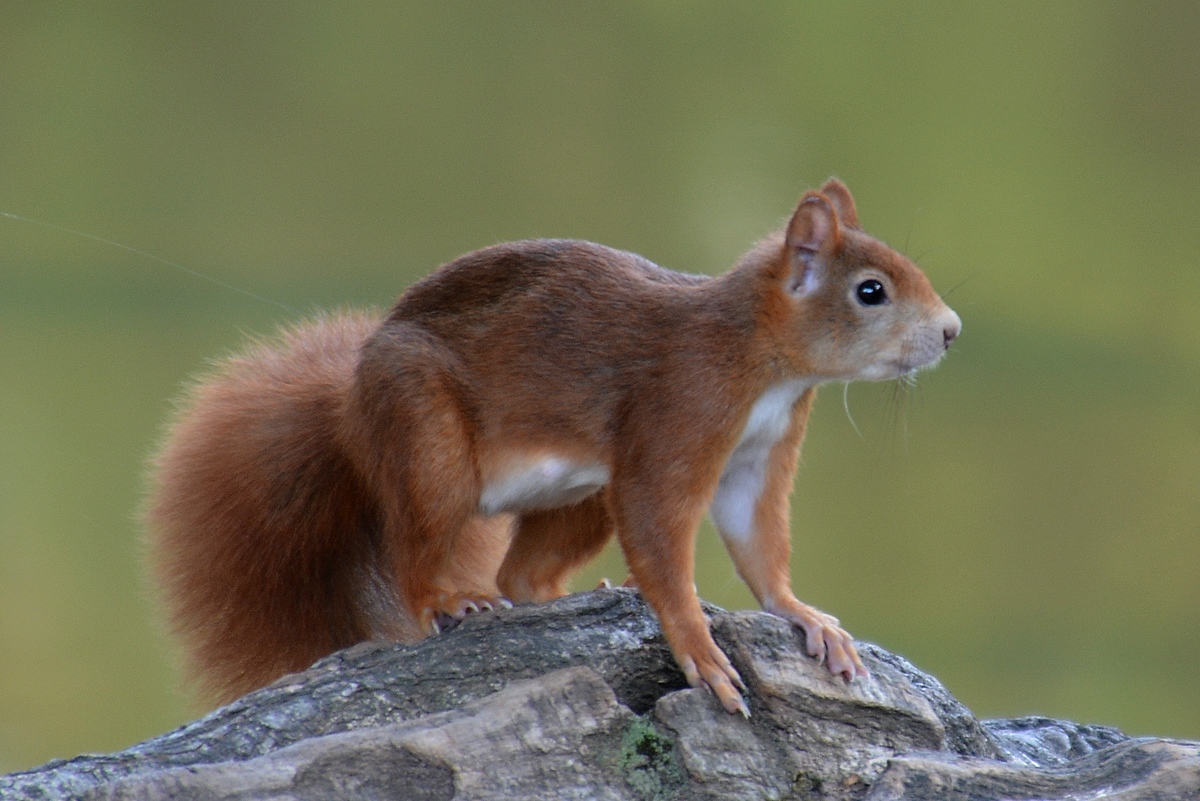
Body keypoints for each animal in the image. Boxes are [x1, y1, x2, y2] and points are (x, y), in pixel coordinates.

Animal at [145, 179, 960, 714]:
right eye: (871, 291)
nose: (952, 331)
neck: (763, 359)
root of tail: (351, 418)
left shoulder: (760, 455)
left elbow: (759, 542)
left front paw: (805, 616)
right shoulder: (679, 412)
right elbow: (663, 535)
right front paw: (700, 651)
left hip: (580, 494)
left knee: (520, 573)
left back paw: (575, 595)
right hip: (428, 439)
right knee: (418, 551)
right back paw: (450, 598)